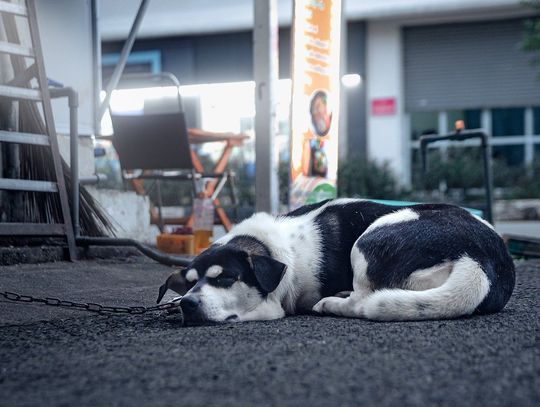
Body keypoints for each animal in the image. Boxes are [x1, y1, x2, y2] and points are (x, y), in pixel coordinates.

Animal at [156, 199, 516, 324]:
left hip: (369, 238)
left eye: (226, 277)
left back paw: (333, 303)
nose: (188, 303)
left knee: (364, 302)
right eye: (189, 284)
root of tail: (480, 256)